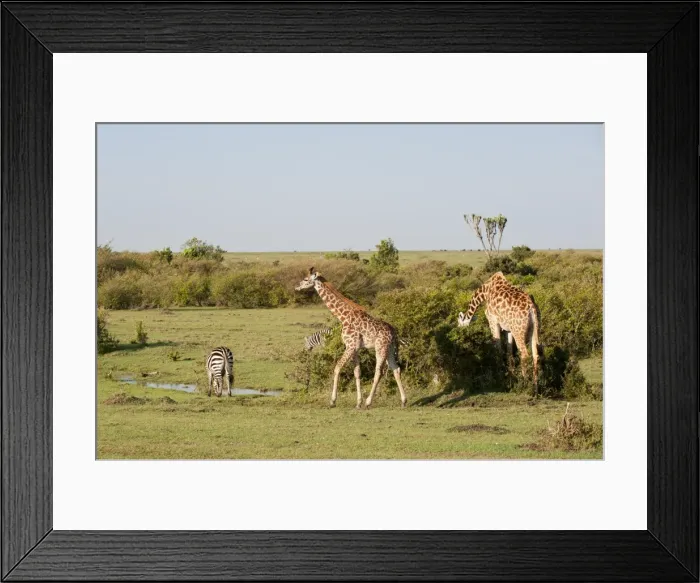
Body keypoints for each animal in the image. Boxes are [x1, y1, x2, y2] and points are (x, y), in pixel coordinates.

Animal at [295, 267, 407, 409]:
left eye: (305, 279)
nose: (296, 287)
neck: (343, 316)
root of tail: (394, 333)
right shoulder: (355, 348)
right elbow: (357, 372)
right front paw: (358, 402)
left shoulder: (350, 345)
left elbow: (337, 367)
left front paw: (333, 401)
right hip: (390, 349)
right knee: (396, 369)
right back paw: (403, 401)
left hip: (380, 347)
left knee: (379, 372)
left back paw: (369, 402)